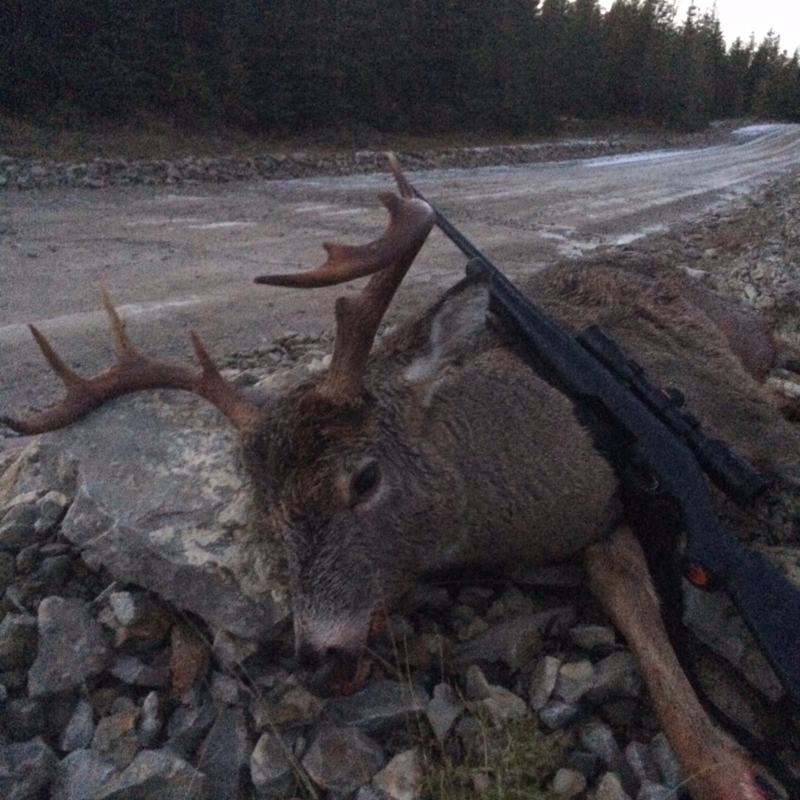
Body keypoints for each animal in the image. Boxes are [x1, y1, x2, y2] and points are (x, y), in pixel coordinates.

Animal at [3, 157, 798, 800]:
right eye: (268, 511)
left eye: (364, 479)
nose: (318, 660)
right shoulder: (606, 524)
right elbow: (639, 613)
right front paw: (735, 768)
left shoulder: (738, 428)